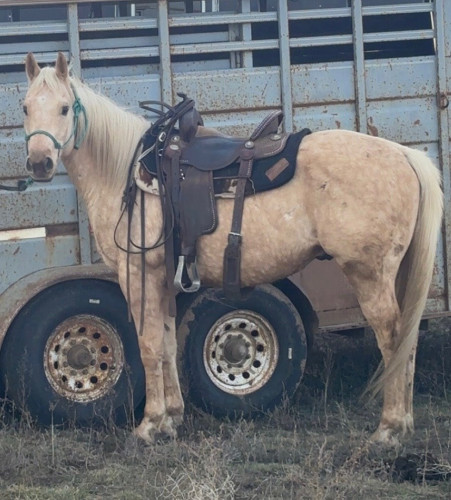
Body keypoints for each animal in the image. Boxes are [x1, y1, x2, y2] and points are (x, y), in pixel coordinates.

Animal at [22, 52, 443, 446]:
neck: (125, 171)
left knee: (391, 337)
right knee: (405, 339)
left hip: (368, 273)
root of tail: (405, 155)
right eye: (25, 107)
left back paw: (388, 428)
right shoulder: (164, 279)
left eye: (64, 107)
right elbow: (167, 344)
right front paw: (171, 419)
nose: (40, 163)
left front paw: (148, 425)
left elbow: (148, 346)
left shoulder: (138, 274)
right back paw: (403, 423)